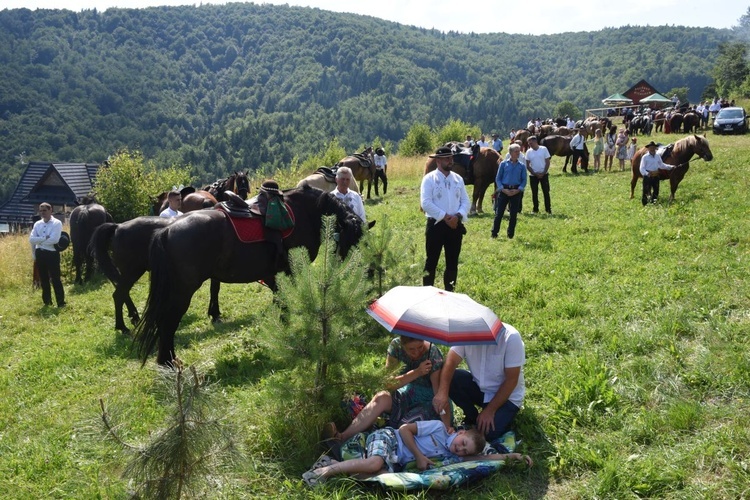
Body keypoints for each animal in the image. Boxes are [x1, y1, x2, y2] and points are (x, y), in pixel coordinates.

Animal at [137, 186, 368, 366]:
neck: (307, 211)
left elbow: (279, 301)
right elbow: (284, 302)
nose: (359, 271)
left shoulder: (275, 275)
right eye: (349, 240)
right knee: (168, 323)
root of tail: (166, 231)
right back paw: (168, 362)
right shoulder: (289, 270)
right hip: (182, 292)